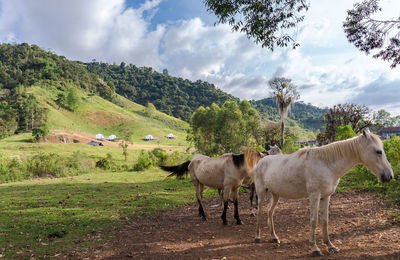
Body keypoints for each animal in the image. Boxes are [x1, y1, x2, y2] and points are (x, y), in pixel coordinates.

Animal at [247, 129, 394, 256]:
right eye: (378, 152)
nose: (389, 176)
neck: (326, 164)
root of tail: (261, 161)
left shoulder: (326, 196)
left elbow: (325, 221)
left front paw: (330, 246)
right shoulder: (314, 196)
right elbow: (314, 220)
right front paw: (315, 248)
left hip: (276, 194)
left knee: (270, 212)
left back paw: (274, 237)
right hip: (261, 193)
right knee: (260, 211)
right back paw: (257, 237)